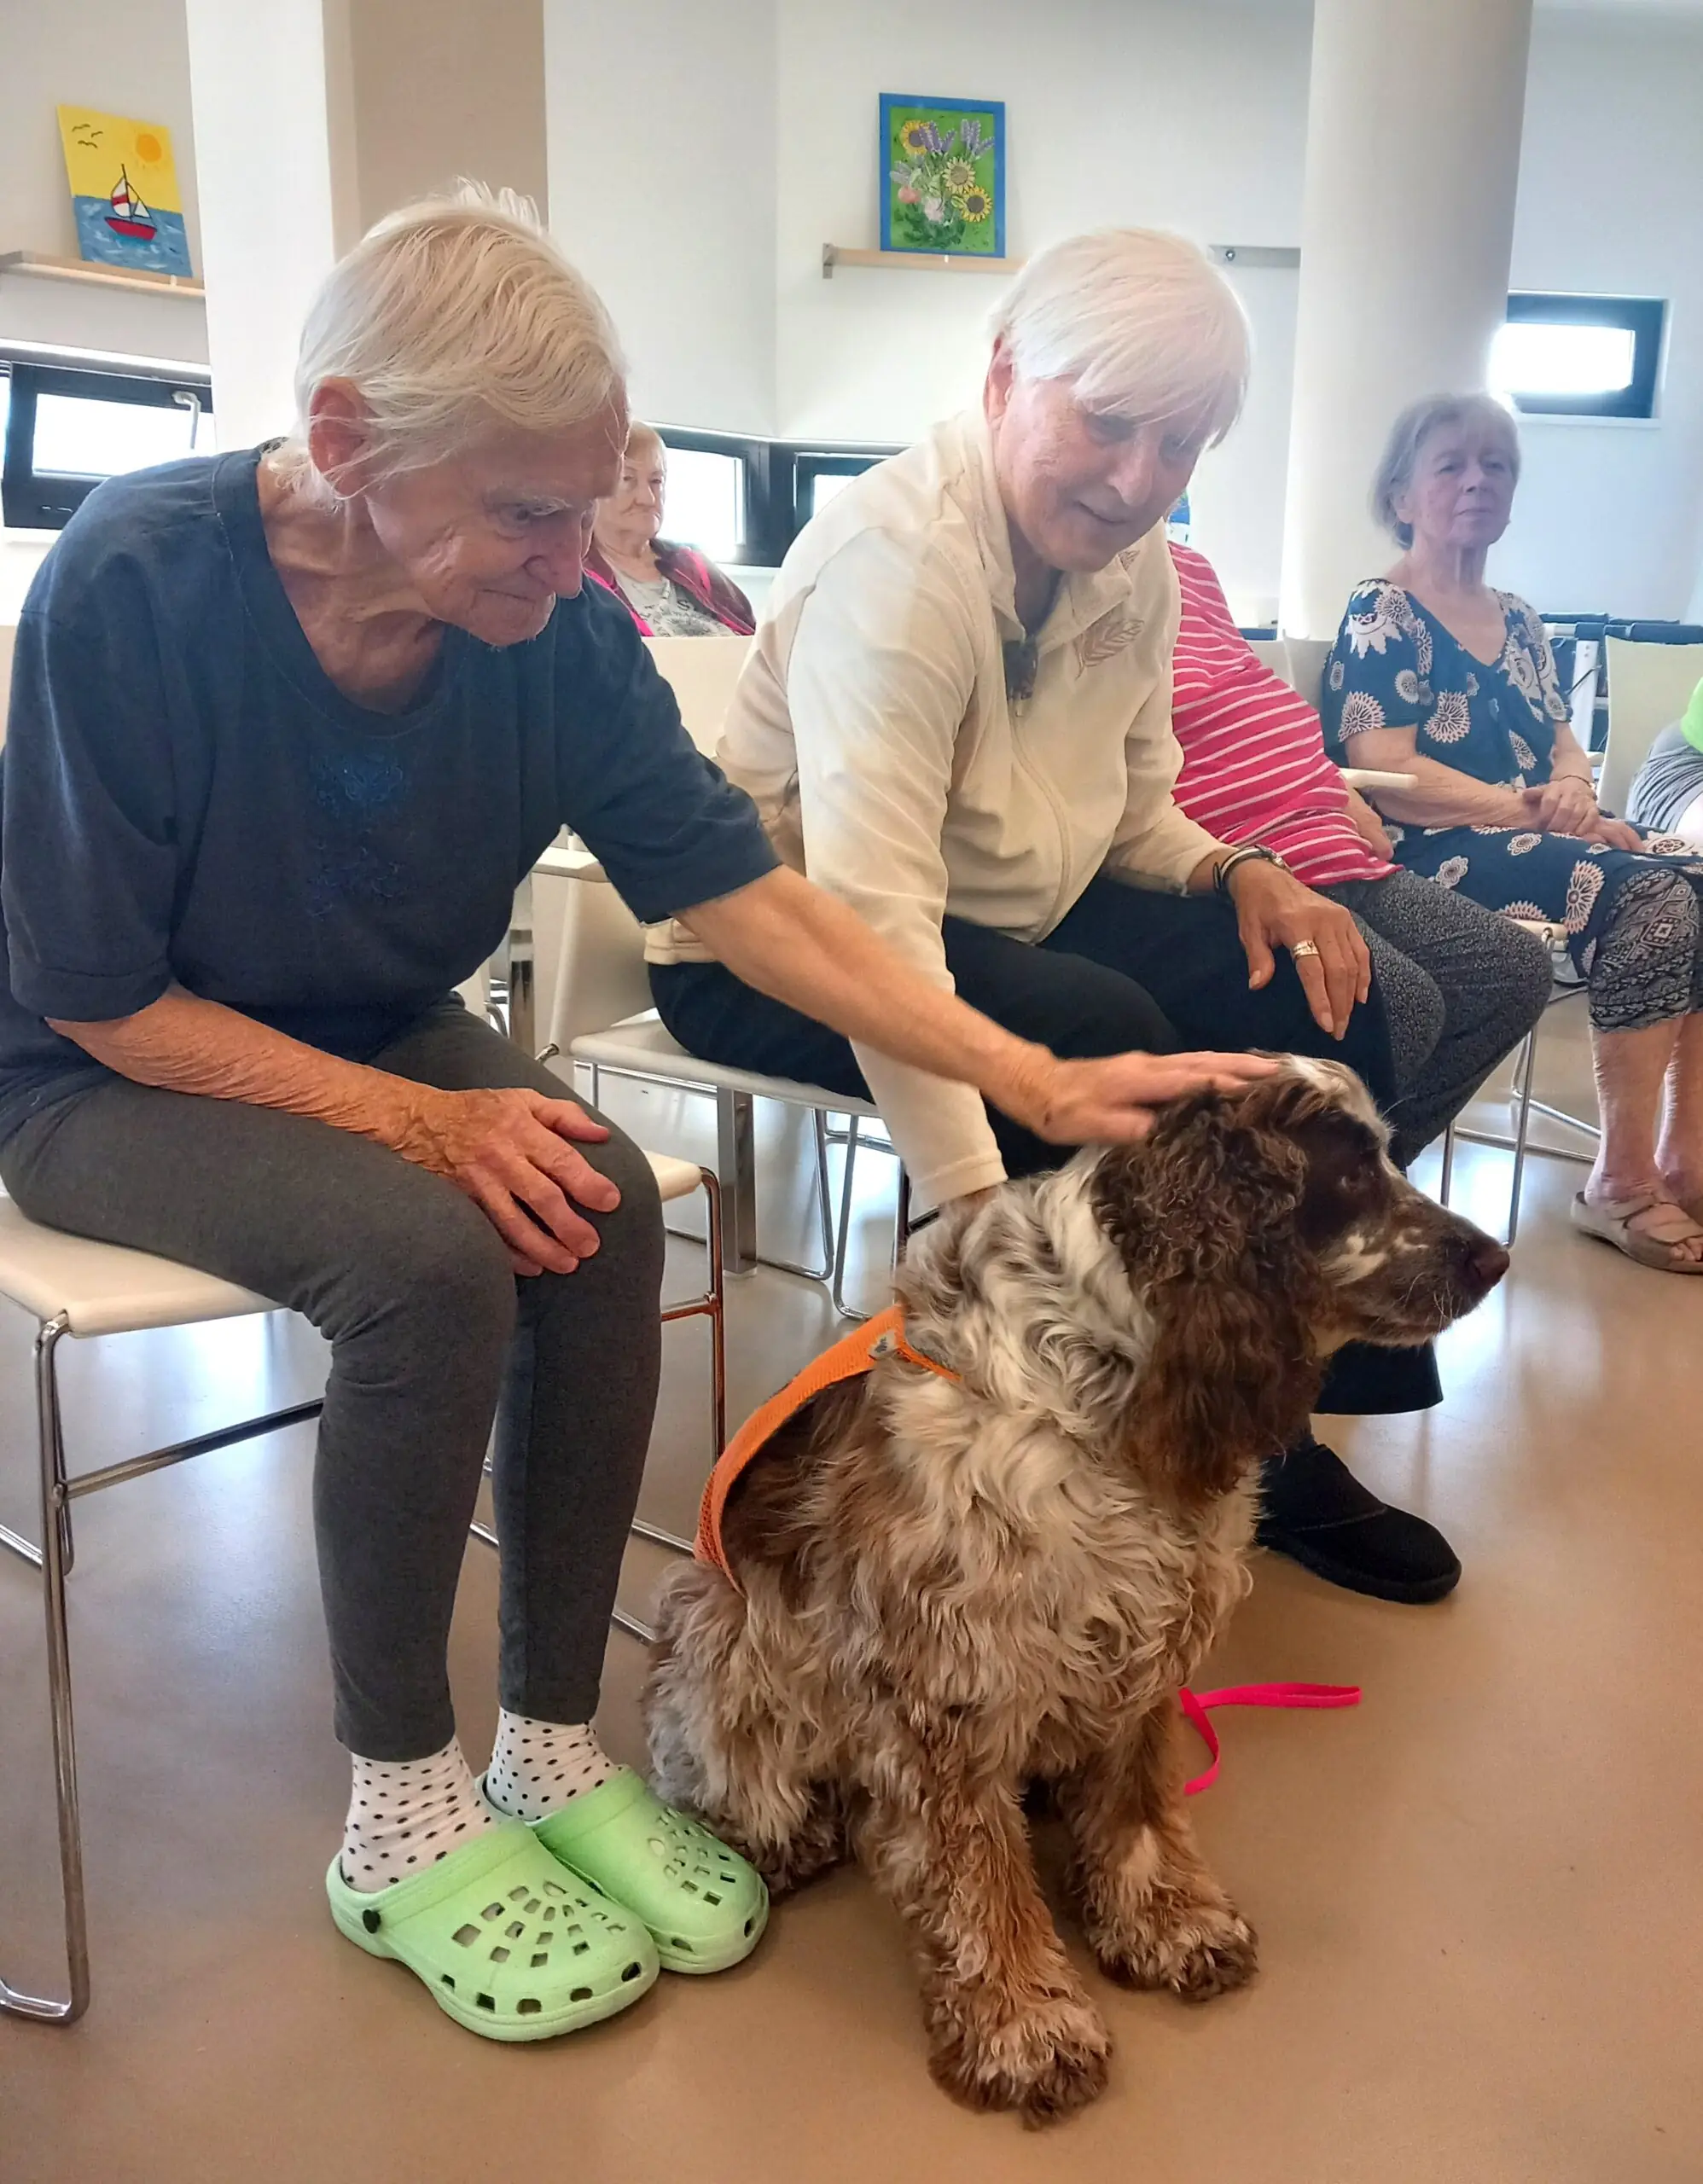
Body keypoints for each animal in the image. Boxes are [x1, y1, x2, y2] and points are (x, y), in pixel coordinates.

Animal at [645, 1059, 1507, 2123]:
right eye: (1348, 1173)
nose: (1494, 1256)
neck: (1109, 1387)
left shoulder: (1143, 1641)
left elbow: (1137, 1807)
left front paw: (1166, 1921)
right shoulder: (950, 1687)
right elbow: (978, 1878)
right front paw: (1023, 2026)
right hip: (723, 1639)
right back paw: (785, 1836)